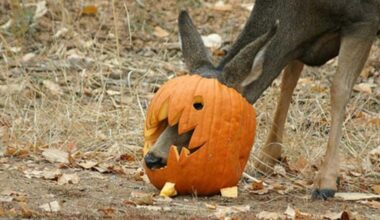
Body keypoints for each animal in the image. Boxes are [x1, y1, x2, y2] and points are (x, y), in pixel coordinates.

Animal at [143, 0, 380, 199]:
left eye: (200, 106)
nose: (152, 158)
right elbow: (288, 81)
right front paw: (267, 158)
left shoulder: (363, 21)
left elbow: (339, 89)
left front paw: (326, 182)